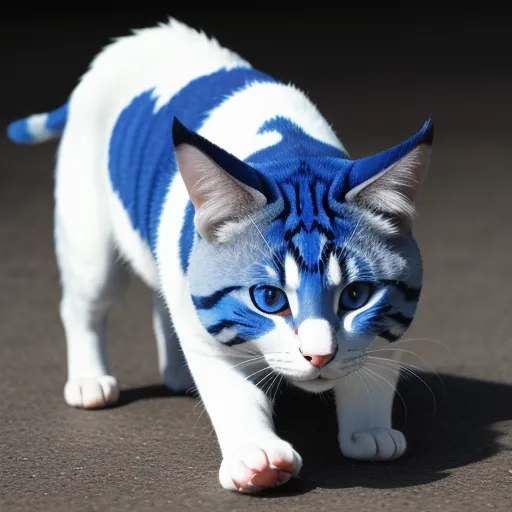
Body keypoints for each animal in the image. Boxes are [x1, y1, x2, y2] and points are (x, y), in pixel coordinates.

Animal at [7, 19, 432, 492]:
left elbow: (374, 373)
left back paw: (177, 376)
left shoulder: (390, 325)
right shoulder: (208, 341)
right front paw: (256, 454)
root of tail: (124, 44)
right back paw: (89, 380)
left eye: (355, 296)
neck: (291, 151)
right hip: (92, 249)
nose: (319, 356)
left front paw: (368, 430)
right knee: (84, 308)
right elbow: (234, 394)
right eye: (269, 299)